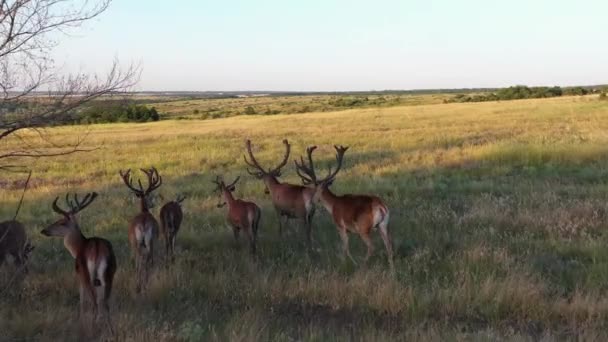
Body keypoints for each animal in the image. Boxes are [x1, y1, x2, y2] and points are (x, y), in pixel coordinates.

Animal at [40, 192, 117, 334]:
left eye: (61, 222)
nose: (44, 230)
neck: (77, 248)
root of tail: (97, 247)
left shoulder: (78, 273)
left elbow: (81, 299)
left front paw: (81, 320)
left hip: (86, 272)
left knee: (94, 302)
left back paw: (92, 328)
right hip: (110, 272)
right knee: (105, 302)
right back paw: (111, 330)